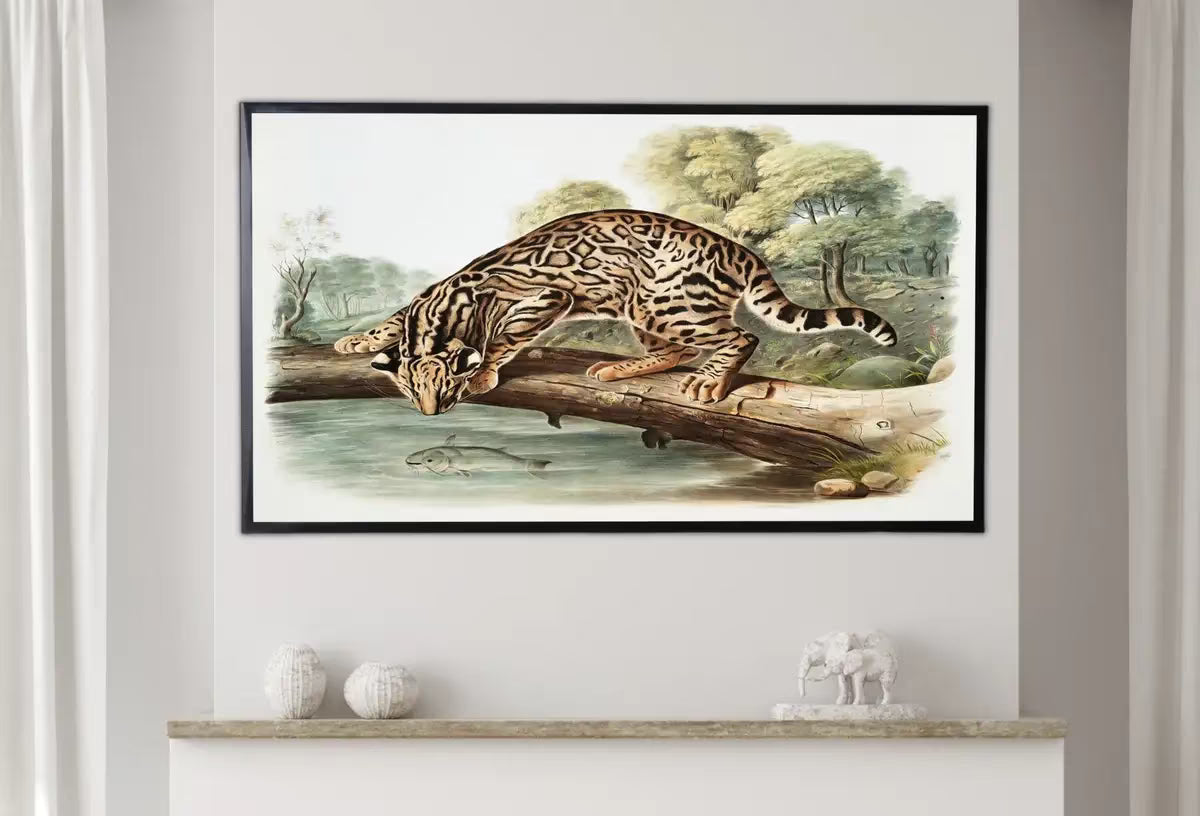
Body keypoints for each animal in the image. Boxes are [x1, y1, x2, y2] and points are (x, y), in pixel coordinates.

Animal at [333, 209, 897, 416]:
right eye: (410, 389)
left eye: (446, 387)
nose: (429, 413)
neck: (437, 316)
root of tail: (740, 251)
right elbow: (391, 320)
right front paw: (359, 340)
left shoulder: (547, 297)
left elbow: (504, 338)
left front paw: (485, 372)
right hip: (644, 309)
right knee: (674, 352)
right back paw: (622, 367)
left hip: (664, 303)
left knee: (739, 338)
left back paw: (709, 380)